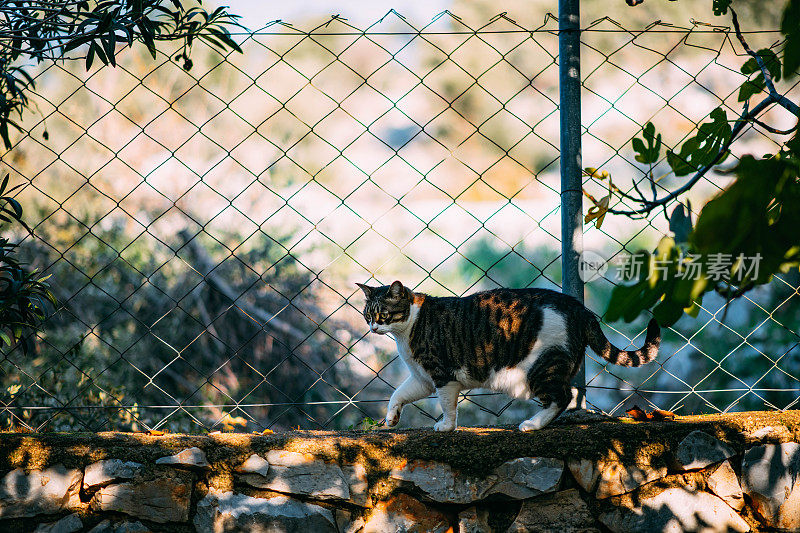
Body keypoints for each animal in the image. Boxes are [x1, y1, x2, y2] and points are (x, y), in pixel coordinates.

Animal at [360, 280, 660, 430]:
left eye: (383, 315)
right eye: (367, 315)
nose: (373, 328)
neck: (407, 332)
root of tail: (579, 307)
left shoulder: (443, 375)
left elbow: (447, 406)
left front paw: (446, 427)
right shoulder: (422, 379)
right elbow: (398, 394)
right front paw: (392, 419)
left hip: (540, 367)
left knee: (564, 396)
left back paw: (533, 424)